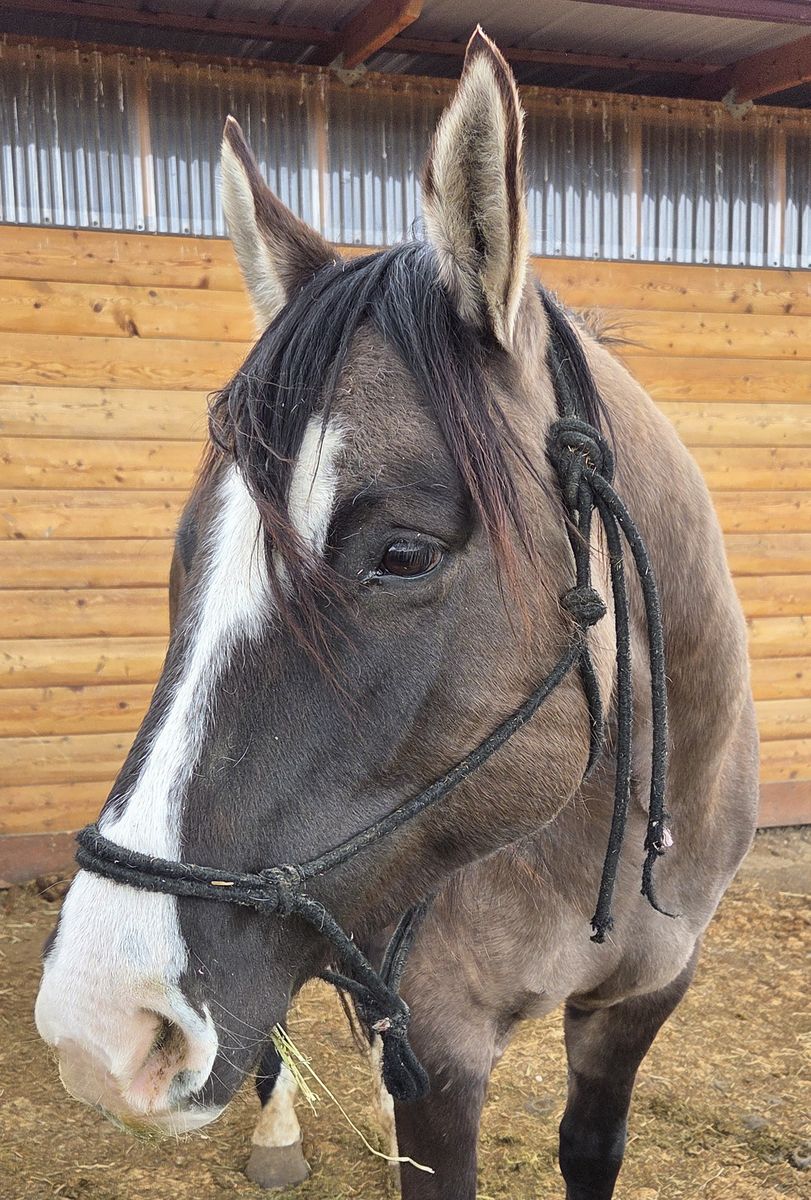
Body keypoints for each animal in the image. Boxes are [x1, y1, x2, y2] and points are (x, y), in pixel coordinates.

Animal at [35, 30, 759, 1200]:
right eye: (188, 555)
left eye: (401, 555)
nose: (101, 1027)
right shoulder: (446, 1048)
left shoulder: (636, 1007)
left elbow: (588, 1149)